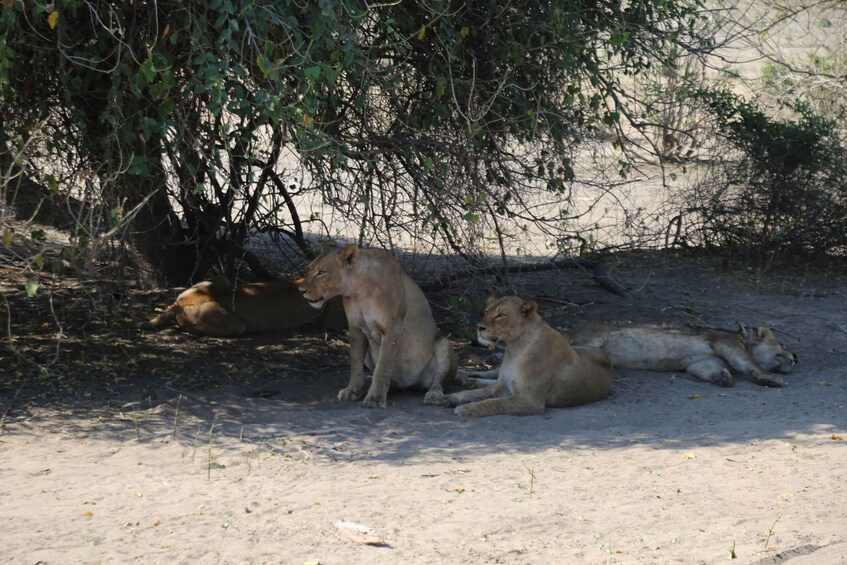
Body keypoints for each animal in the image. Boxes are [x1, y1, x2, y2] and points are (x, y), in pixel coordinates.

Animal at [298, 242, 458, 406]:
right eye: (309, 268)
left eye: (322, 272)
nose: (301, 290)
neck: (359, 292)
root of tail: (410, 384)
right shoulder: (355, 328)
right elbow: (356, 364)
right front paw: (353, 391)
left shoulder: (393, 329)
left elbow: (383, 367)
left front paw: (375, 398)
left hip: (444, 345)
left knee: (438, 382)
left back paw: (433, 395)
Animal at [440, 298, 612, 416]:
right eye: (486, 312)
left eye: (500, 315)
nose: (479, 327)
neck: (514, 349)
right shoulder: (502, 387)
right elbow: (476, 394)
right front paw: (450, 398)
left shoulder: (530, 401)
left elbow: (493, 403)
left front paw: (466, 408)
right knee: (490, 375)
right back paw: (467, 378)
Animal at [568, 322, 800, 388]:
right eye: (782, 344)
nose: (796, 356)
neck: (746, 343)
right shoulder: (724, 343)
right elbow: (750, 364)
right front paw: (770, 378)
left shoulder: (702, 362)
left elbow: (707, 370)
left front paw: (722, 378)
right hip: (598, 335)